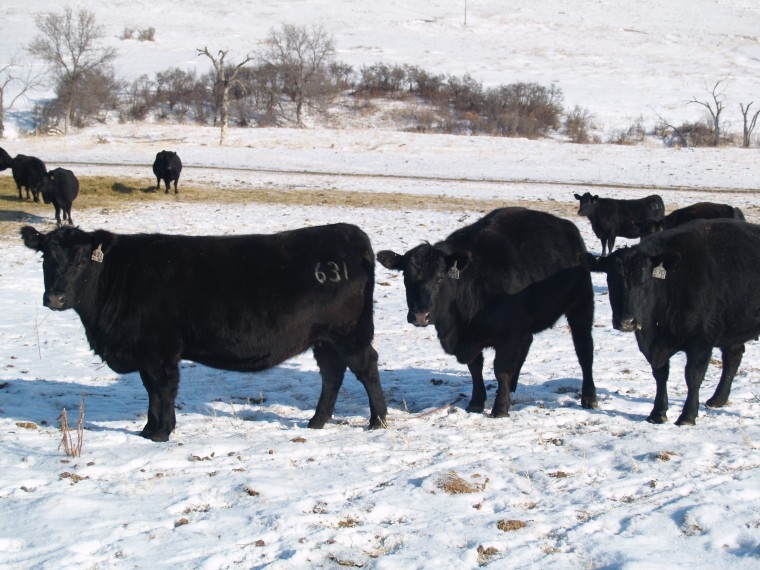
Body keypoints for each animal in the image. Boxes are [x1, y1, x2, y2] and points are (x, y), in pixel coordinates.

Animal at [21, 223, 387, 442]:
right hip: (324, 339)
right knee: (332, 373)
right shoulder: (147, 354)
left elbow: (163, 390)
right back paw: (317, 421)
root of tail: (348, 233)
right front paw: (149, 428)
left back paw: (378, 420)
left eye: (81, 261)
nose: (55, 298)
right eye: (45, 258)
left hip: (350, 334)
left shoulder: (160, 350)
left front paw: (160, 432)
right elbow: (151, 390)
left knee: (366, 368)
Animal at [377, 207, 597, 418]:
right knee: (526, 345)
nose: (420, 316)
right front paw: (476, 402)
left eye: (440, 278)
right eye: (406, 277)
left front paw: (500, 408)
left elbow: (501, 370)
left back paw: (589, 397)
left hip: (581, 305)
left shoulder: (508, 335)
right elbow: (476, 369)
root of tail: (568, 228)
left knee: (584, 350)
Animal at [588, 219, 760, 425]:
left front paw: (687, 416)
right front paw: (657, 412)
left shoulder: (701, 340)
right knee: (733, 356)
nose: (627, 321)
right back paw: (718, 399)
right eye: (612, 280)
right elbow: (660, 374)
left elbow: (693, 376)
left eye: (644, 281)